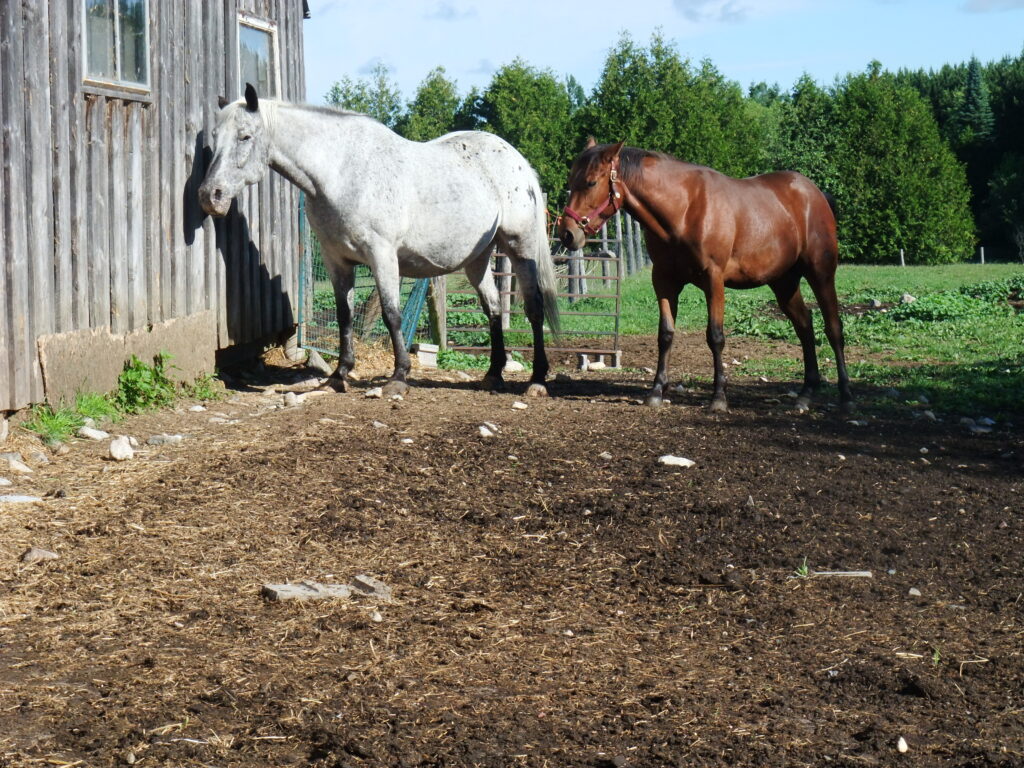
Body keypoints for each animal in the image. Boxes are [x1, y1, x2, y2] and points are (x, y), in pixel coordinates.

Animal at [199, 84, 560, 398]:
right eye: (215, 138)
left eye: (245, 136)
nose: (209, 195)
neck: (342, 171)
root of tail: (516, 159)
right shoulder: (336, 261)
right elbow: (345, 316)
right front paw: (339, 375)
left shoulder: (382, 255)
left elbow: (391, 314)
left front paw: (398, 377)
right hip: (477, 259)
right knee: (494, 308)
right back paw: (493, 374)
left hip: (520, 246)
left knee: (534, 308)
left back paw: (538, 380)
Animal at [559, 139, 853, 414]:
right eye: (571, 181)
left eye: (590, 182)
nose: (567, 234)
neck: (684, 209)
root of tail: (815, 194)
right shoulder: (664, 281)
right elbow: (665, 334)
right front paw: (656, 391)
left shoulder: (714, 279)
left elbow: (715, 336)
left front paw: (719, 397)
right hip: (784, 282)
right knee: (805, 325)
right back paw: (806, 394)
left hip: (820, 274)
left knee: (833, 328)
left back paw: (845, 395)